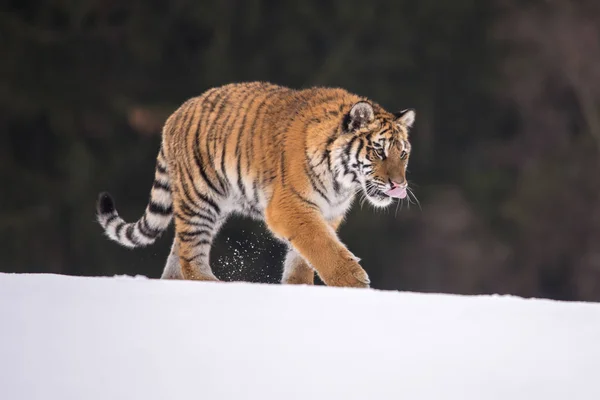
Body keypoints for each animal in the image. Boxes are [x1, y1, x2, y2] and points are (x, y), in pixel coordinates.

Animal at [97, 81, 418, 288]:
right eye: (379, 151)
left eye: (402, 153)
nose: (398, 185)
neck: (342, 182)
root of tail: (174, 116)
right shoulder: (289, 206)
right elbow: (321, 244)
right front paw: (354, 281)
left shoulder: (328, 212)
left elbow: (303, 256)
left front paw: (299, 287)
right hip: (200, 197)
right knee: (190, 254)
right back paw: (215, 285)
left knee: (179, 250)